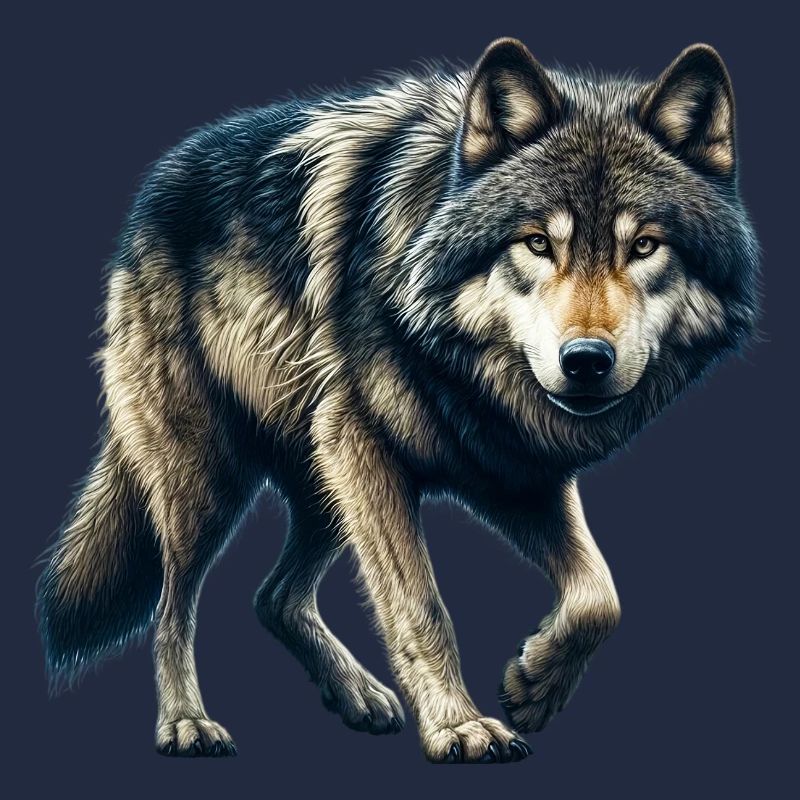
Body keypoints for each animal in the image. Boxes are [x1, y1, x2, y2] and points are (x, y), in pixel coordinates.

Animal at [36, 38, 760, 763]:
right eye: (536, 243)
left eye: (644, 246)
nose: (585, 362)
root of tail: (154, 186)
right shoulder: (367, 446)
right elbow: (420, 606)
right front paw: (459, 726)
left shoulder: (514, 471)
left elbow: (600, 596)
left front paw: (535, 685)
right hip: (213, 480)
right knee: (172, 605)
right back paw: (187, 722)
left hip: (324, 480)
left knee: (273, 597)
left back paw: (355, 693)